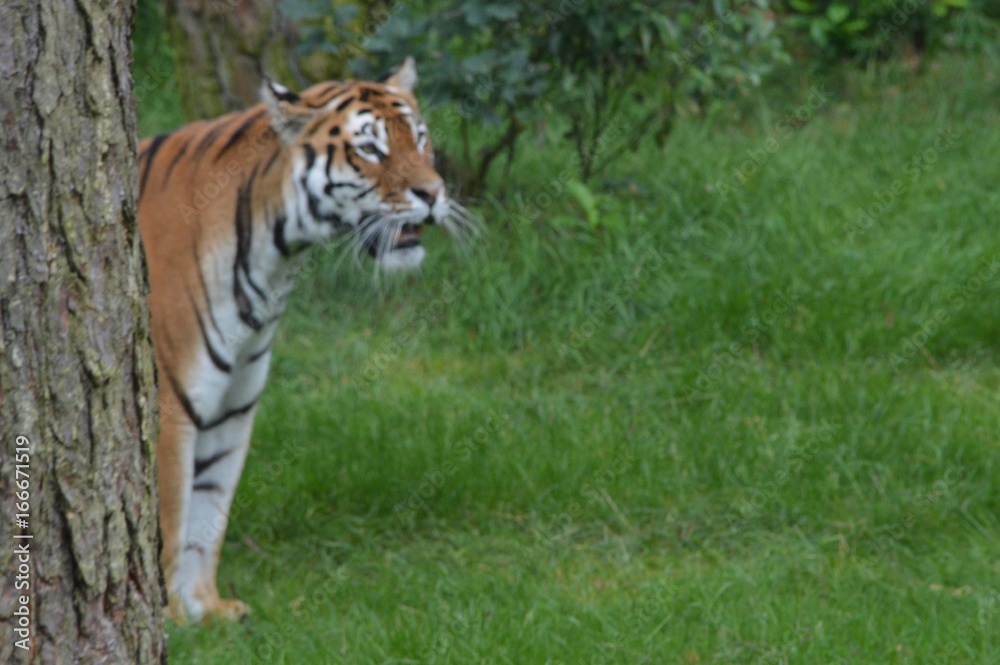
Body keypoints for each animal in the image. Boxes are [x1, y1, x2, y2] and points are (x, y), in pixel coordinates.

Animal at [136, 58, 475, 622]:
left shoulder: (232, 404)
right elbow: (169, 522)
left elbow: (208, 514)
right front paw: (170, 621)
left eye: (421, 139)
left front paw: (208, 611)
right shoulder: (170, 403)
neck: (271, 259)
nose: (433, 194)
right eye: (371, 150)